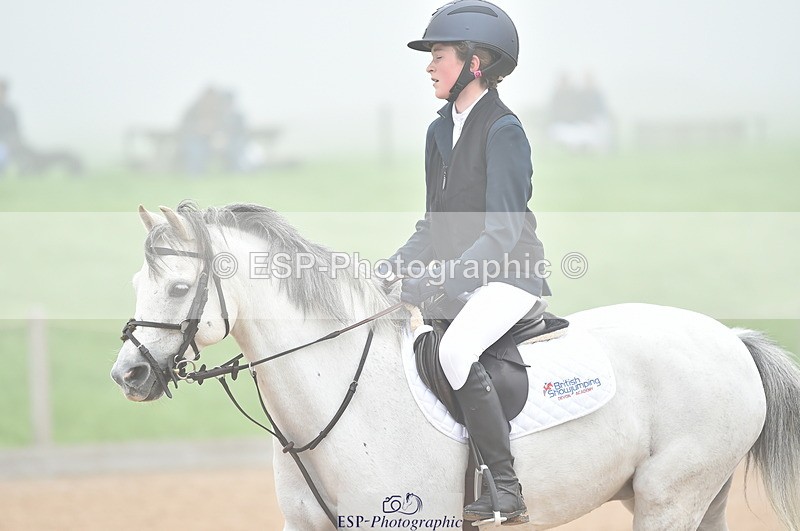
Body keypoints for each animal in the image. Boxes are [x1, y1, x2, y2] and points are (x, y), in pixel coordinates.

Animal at [111, 201, 800, 531]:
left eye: (178, 288)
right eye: (139, 283)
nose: (128, 377)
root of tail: (731, 339)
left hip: (669, 496)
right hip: (692, 495)